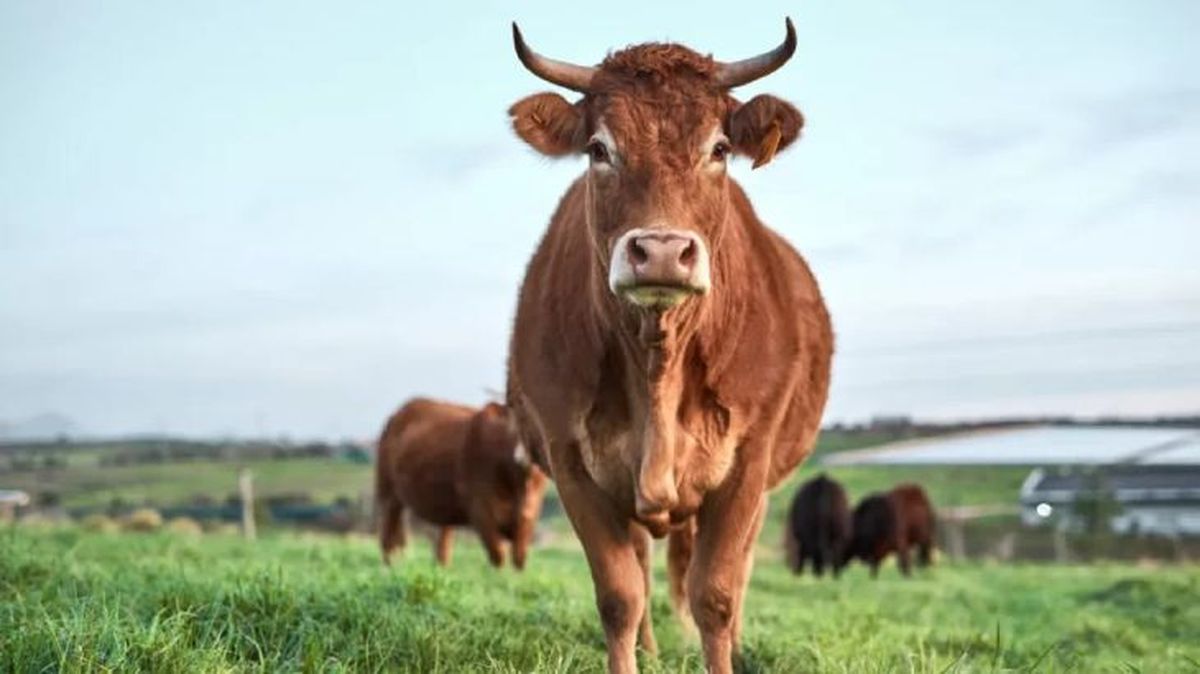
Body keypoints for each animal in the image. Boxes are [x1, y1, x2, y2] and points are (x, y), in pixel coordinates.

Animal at [375, 398, 547, 569]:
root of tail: (397, 415)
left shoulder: (529, 515)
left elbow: (519, 558)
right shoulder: (480, 509)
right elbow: (498, 556)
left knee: (441, 543)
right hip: (388, 493)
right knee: (388, 535)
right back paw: (390, 567)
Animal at [504, 18, 833, 673]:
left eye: (719, 149)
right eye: (599, 149)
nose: (659, 251)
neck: (658, 360)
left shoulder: (748, 464)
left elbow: (716, 594)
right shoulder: (571, 461)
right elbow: (620, 595)